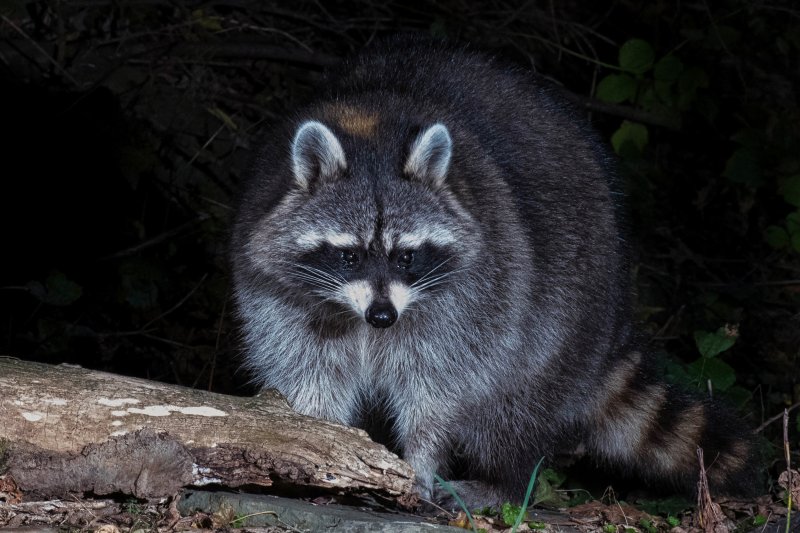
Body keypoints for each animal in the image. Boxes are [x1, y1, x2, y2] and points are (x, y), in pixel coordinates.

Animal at [231, 37, 759, 506]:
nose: (382, 317)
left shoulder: (472, 299)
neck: (372, 128)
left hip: (561, 315)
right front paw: (319, 447)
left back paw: (506, 481)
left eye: (406, 257)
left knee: (510, 406)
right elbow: (310, 372)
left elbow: (438, 390)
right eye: (349, 257)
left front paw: (422, 462)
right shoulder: (278, 294)